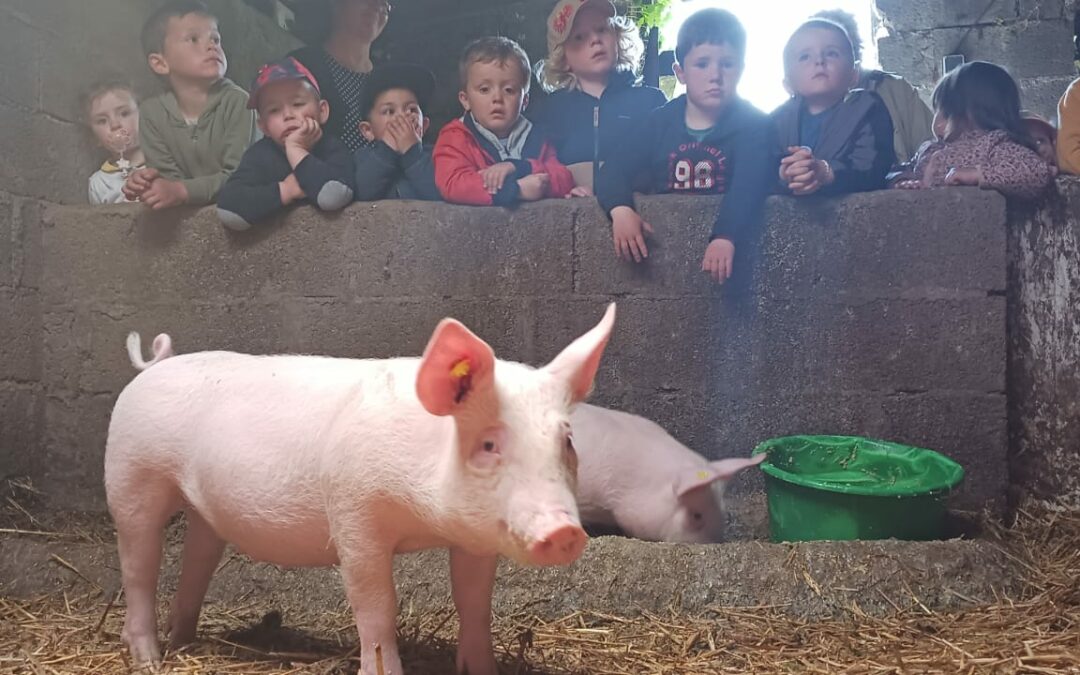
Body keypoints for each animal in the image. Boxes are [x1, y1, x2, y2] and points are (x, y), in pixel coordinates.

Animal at [106, 306, 622, 673]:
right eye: (489, 444)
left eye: (566, 441)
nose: (564, 531)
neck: (422, 518)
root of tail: (153, 368)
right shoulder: (354, 516)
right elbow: (376, 606)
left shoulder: (476, 537)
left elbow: (474, 603)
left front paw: (484, 670)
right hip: (133, 476)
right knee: (139, 565)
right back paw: (150, 659)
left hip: (203, 509)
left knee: (198, 559)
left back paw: (184, 640)